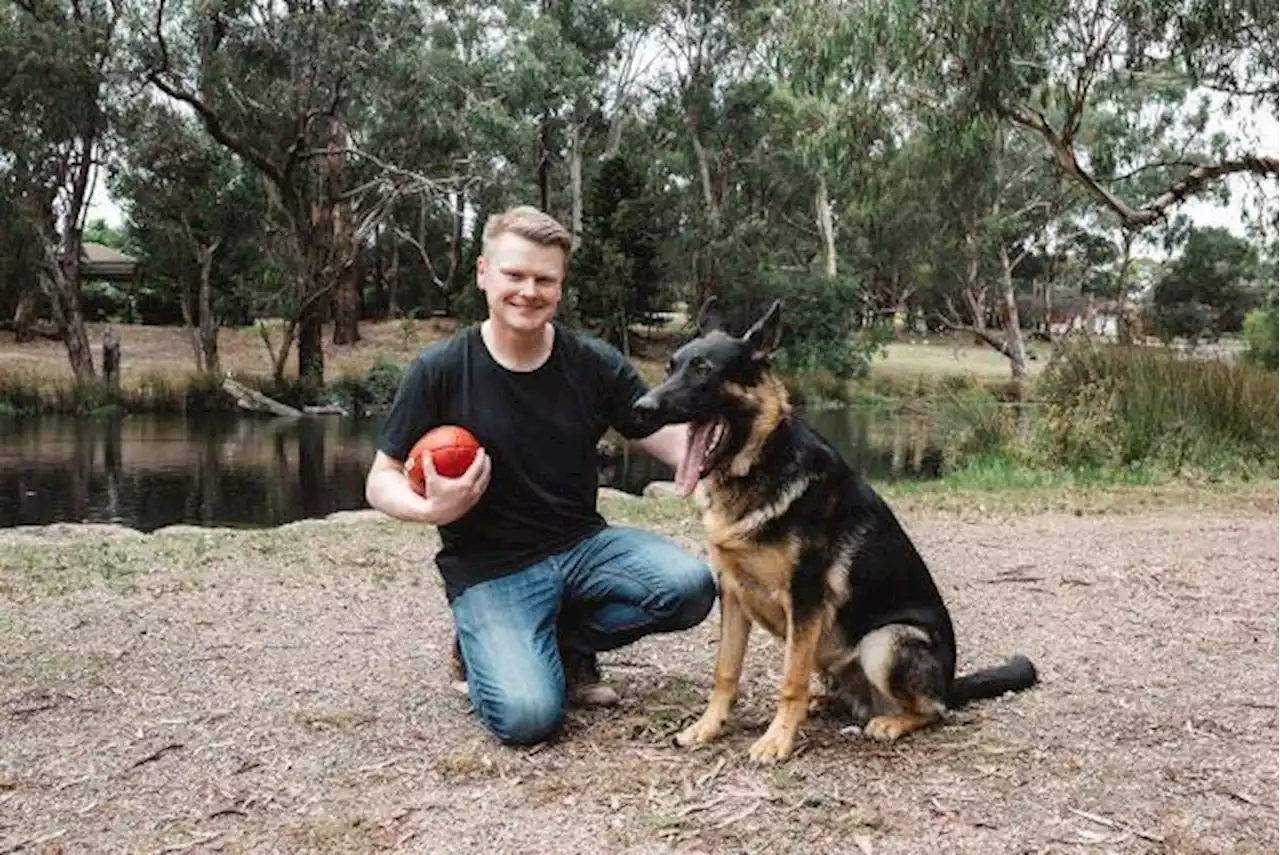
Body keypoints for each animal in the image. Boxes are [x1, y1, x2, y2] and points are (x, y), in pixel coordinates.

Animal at [632, 299, 1039, 762]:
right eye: (671, 366)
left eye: (703, 370)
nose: (641, 407)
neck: (760, 462)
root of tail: (950, 683)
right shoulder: (733, 595)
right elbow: (726, 671)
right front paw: (706, 727)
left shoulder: (805, 597)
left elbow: (790, 680)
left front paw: (777, 740)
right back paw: (824, 702)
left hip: (885, 643)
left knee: (935, 710)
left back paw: (891, 722)